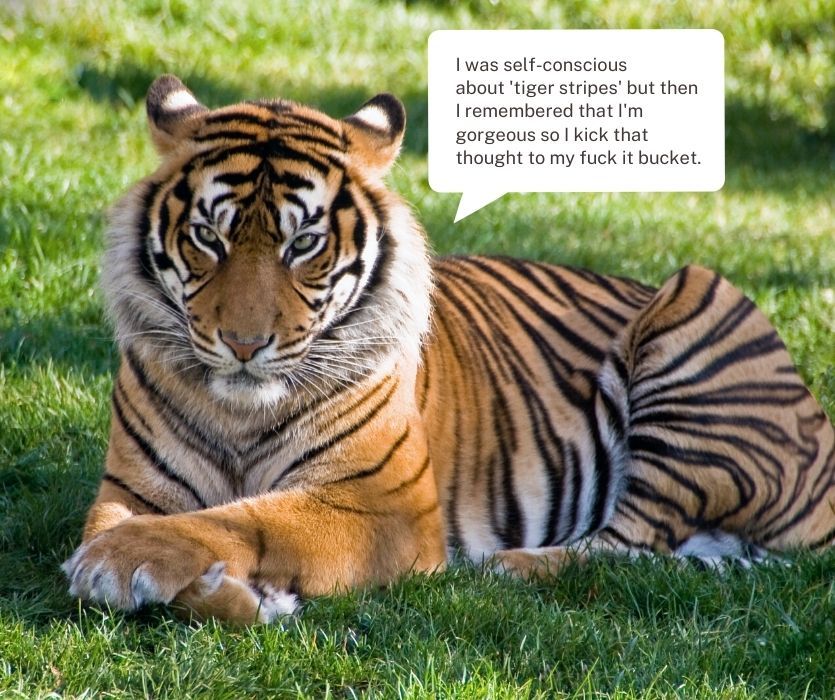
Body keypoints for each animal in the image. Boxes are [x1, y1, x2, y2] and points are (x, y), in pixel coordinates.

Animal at [62, 75, 835, 624]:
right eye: (208, 237)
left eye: (303, 243)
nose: (245, 345)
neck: (240, 411)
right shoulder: (130, 487)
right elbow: (157, 524)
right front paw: (236, 595)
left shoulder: (383, 506)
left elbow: (245, 517)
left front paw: (120, 562)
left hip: (698, 300)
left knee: (626, 544)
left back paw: (509, 566)